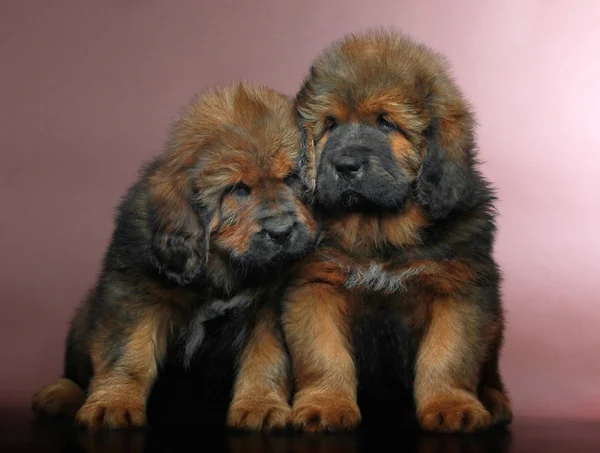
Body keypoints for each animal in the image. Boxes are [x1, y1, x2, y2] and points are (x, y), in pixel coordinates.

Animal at [32, 82, 322, 430]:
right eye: (238, 189)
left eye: (291, 178)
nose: (281, 232)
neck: (220, 266)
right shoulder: (136, 294)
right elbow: (126, 353)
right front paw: (113, 403)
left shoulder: (268, 305)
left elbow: (266, 357)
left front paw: (261, 406)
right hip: (81, 320)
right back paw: (59, 393)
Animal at [282, 30, 510, 432]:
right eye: (330, 125)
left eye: (386, 123)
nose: (345, 165)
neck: (379, 232)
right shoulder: (316, 286)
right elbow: (323, 354)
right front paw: (326, 404)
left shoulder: (459, 289)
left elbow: (447, 354)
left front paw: (451, 405)